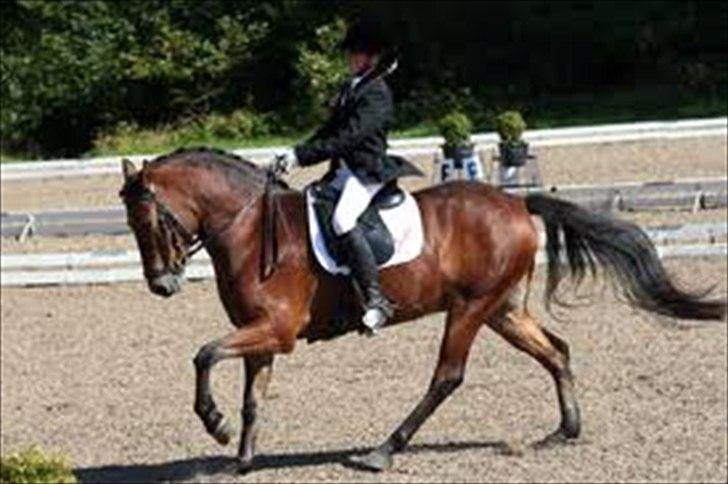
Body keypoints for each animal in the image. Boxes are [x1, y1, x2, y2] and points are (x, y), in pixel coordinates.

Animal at [119, 147, 725, 473]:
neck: (247, 227)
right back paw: (564, 431)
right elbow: (251, 397)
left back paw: (384, 450)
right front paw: (240, 456)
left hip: (470, 308)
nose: (162, 285)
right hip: (502, 310)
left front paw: (214, 425)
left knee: (447, 376)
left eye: (150, 220)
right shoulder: (259, 333)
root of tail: (514, 201)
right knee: (556, 350)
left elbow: (203, 355)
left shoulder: (275, 329)